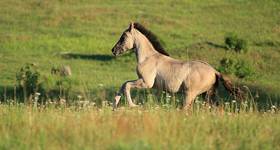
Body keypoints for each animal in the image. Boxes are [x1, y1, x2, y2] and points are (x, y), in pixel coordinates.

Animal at [110, 22, 242, 110]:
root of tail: (214, 71)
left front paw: (132, 105)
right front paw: (115, 104)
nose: (114, 50)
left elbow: (127, 85)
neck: (148, 58)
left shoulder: (146, 83)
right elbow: (124, 84)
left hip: (190, 94)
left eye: (123, 37)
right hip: (208, 94)